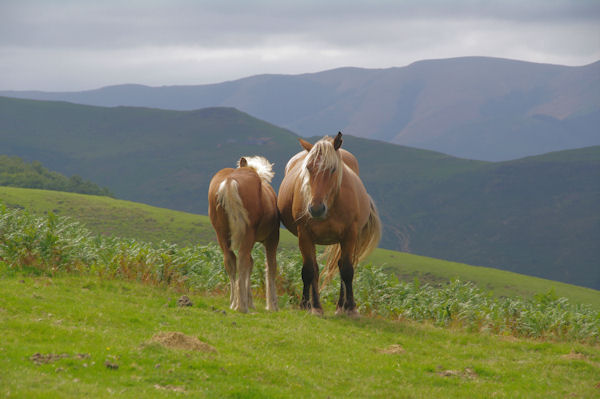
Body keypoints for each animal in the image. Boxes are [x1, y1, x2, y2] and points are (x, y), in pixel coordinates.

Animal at [207, 155, 280, 312]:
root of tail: (230, 181)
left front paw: (249, 300)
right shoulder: (272, 238)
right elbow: (271, 267)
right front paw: (272, 305)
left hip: (221, 233)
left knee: (230, 261)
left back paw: (235, 302)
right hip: (248, 233)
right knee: (242, 260)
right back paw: (242, 306)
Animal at [276, 134, 380, 316]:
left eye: (333, 169)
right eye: (308, 167)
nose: (316, 209)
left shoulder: (349, 235)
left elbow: (347, 270)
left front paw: (351, 308)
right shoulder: (305, 236)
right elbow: (309, 271)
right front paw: (309, 305)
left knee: (340, 266)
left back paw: (341, 306)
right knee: (316, 270)